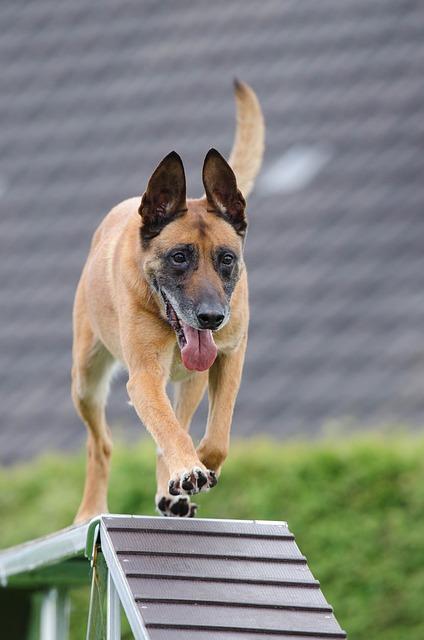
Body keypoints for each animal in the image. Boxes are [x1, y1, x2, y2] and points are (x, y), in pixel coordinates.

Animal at [73, 80, 264, 524]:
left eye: (226, 259)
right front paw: (189, 468)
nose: (211, 318)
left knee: (178, 420)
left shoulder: (230, 356)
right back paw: (91, 510)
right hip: (86, 382)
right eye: (179, 257)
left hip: (190, 381)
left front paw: (197, 466)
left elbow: (214, 436)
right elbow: (167, 428)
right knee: (100, 444)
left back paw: (171, 488)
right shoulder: (144, 377)